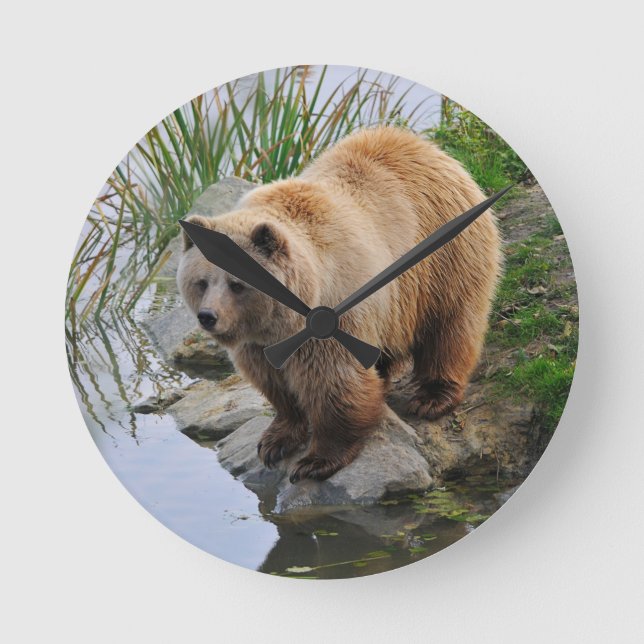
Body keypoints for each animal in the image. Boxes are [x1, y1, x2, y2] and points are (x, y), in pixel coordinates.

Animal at [177, 126, 501, 483]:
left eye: (237, 284)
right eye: (201, 282)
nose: (208, 317)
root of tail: (425, 146)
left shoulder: (331, 314)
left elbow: (334, 383)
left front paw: (316, 460)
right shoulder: (257, 341)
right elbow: (274, 383)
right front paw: (275, 440)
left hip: (443, 257)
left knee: (449, 325)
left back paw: (432, 397)